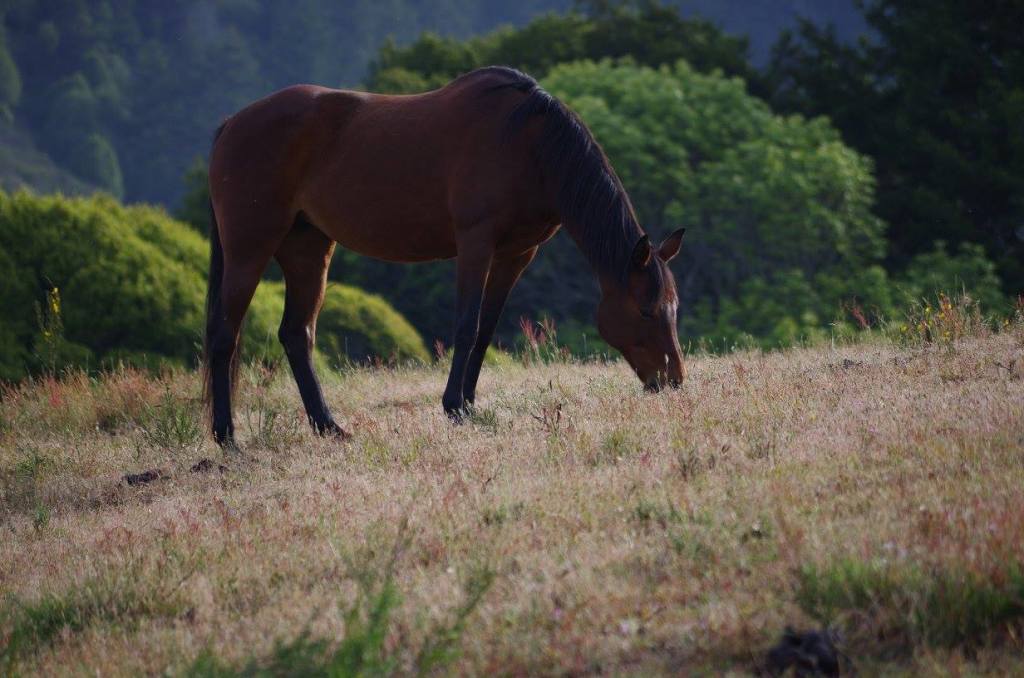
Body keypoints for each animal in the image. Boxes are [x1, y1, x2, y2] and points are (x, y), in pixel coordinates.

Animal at [205, 65, 688, 446]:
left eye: (673, 308)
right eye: (646, 311)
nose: (674, 381)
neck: (528, 145)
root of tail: (231, 124)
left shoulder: (516, 253)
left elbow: (486, 329)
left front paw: (470, 403)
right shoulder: (476, 243)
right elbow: (467, 324)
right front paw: (454, 407)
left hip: (308, 249)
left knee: (296, 334)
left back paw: (328, 427)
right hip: (249, 248)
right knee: (225, 335)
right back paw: (227, 437)